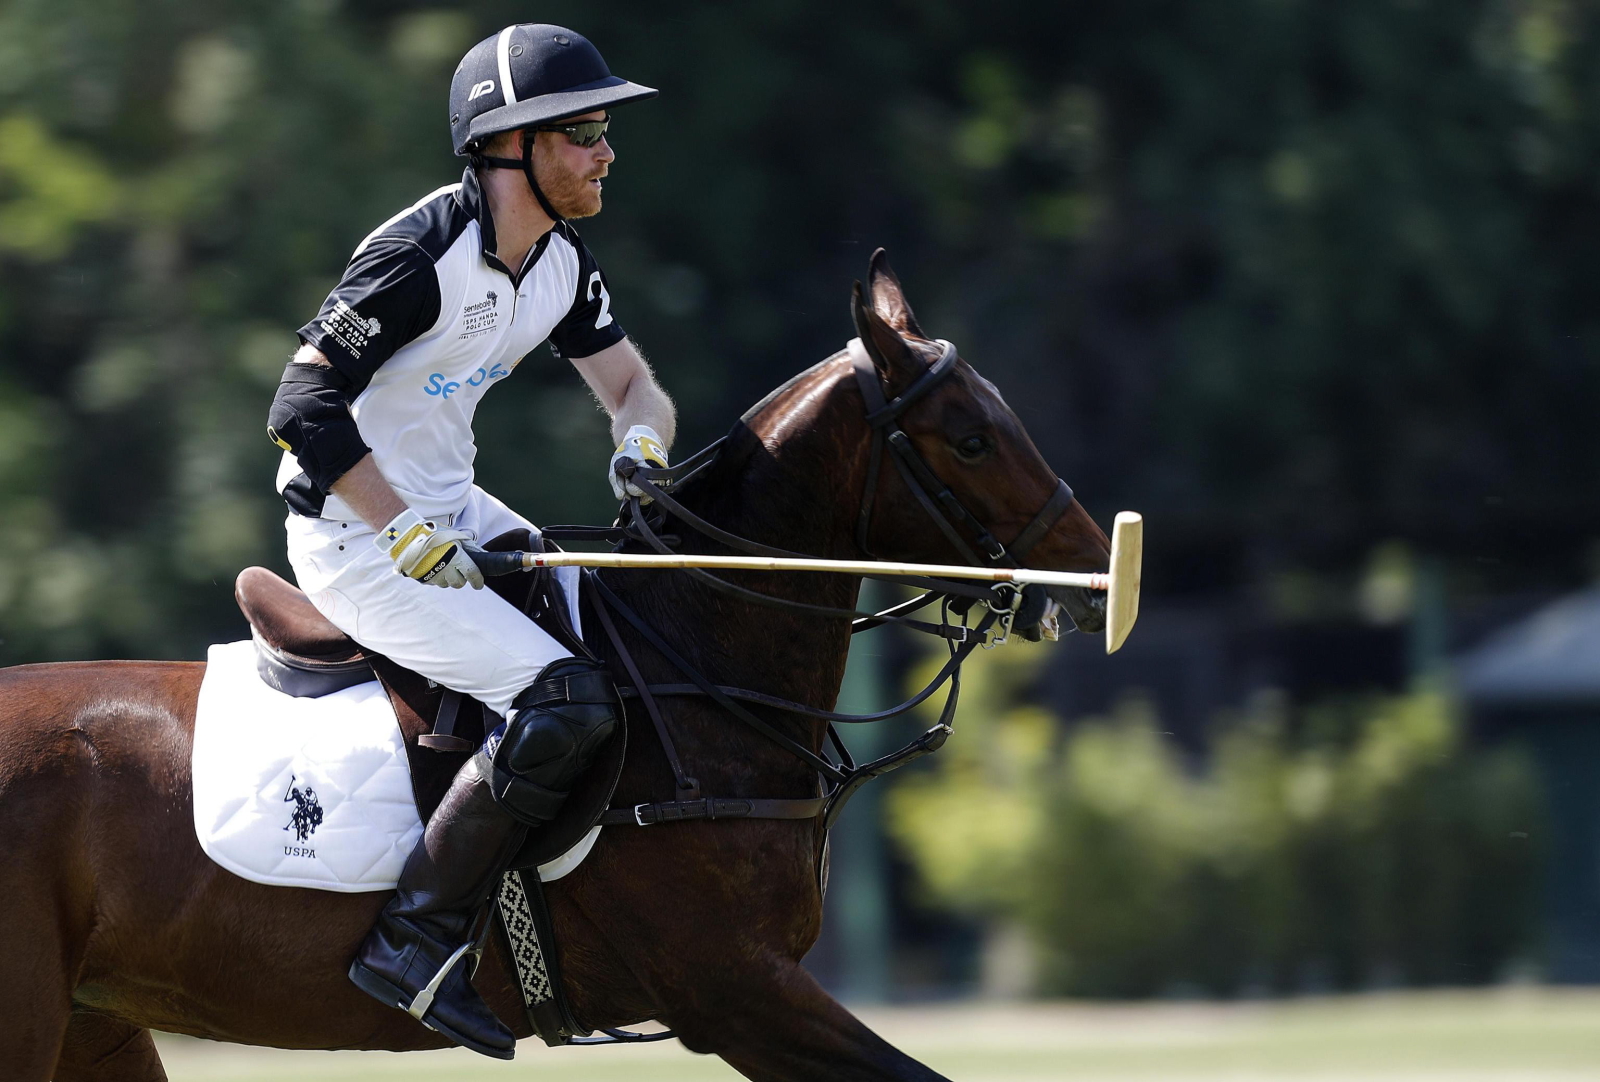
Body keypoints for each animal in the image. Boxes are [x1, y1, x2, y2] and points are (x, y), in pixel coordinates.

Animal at [0, 256, 1107, 1082]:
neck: (694, 663)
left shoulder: (747, 992)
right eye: (971, 438)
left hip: (94, 1021)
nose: (1093, 581)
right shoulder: (734, 988)